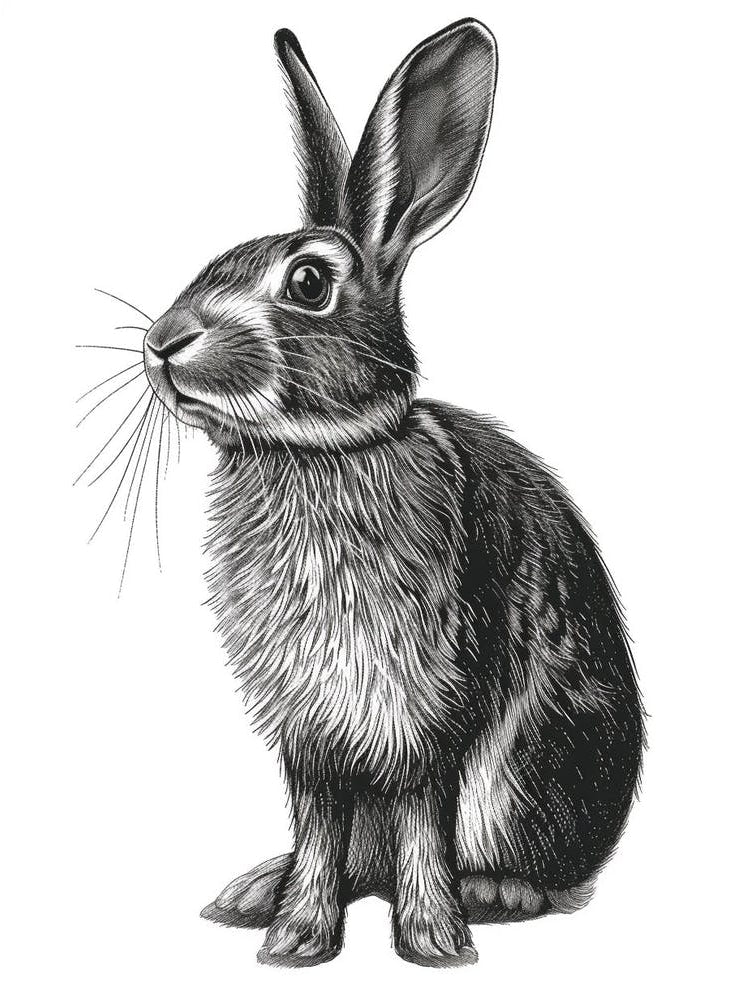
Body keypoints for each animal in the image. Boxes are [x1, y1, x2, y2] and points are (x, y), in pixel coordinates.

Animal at [139, 18, 644, 968]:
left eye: (308, 282)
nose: (162, 342)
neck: (316, 451)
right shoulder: (307, 730)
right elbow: (317, 822)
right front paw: (295, 937)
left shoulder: (425, 706)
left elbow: (418, 815)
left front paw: (433, 943)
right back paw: (256, 891)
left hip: (526, 774)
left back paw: (488, 891)